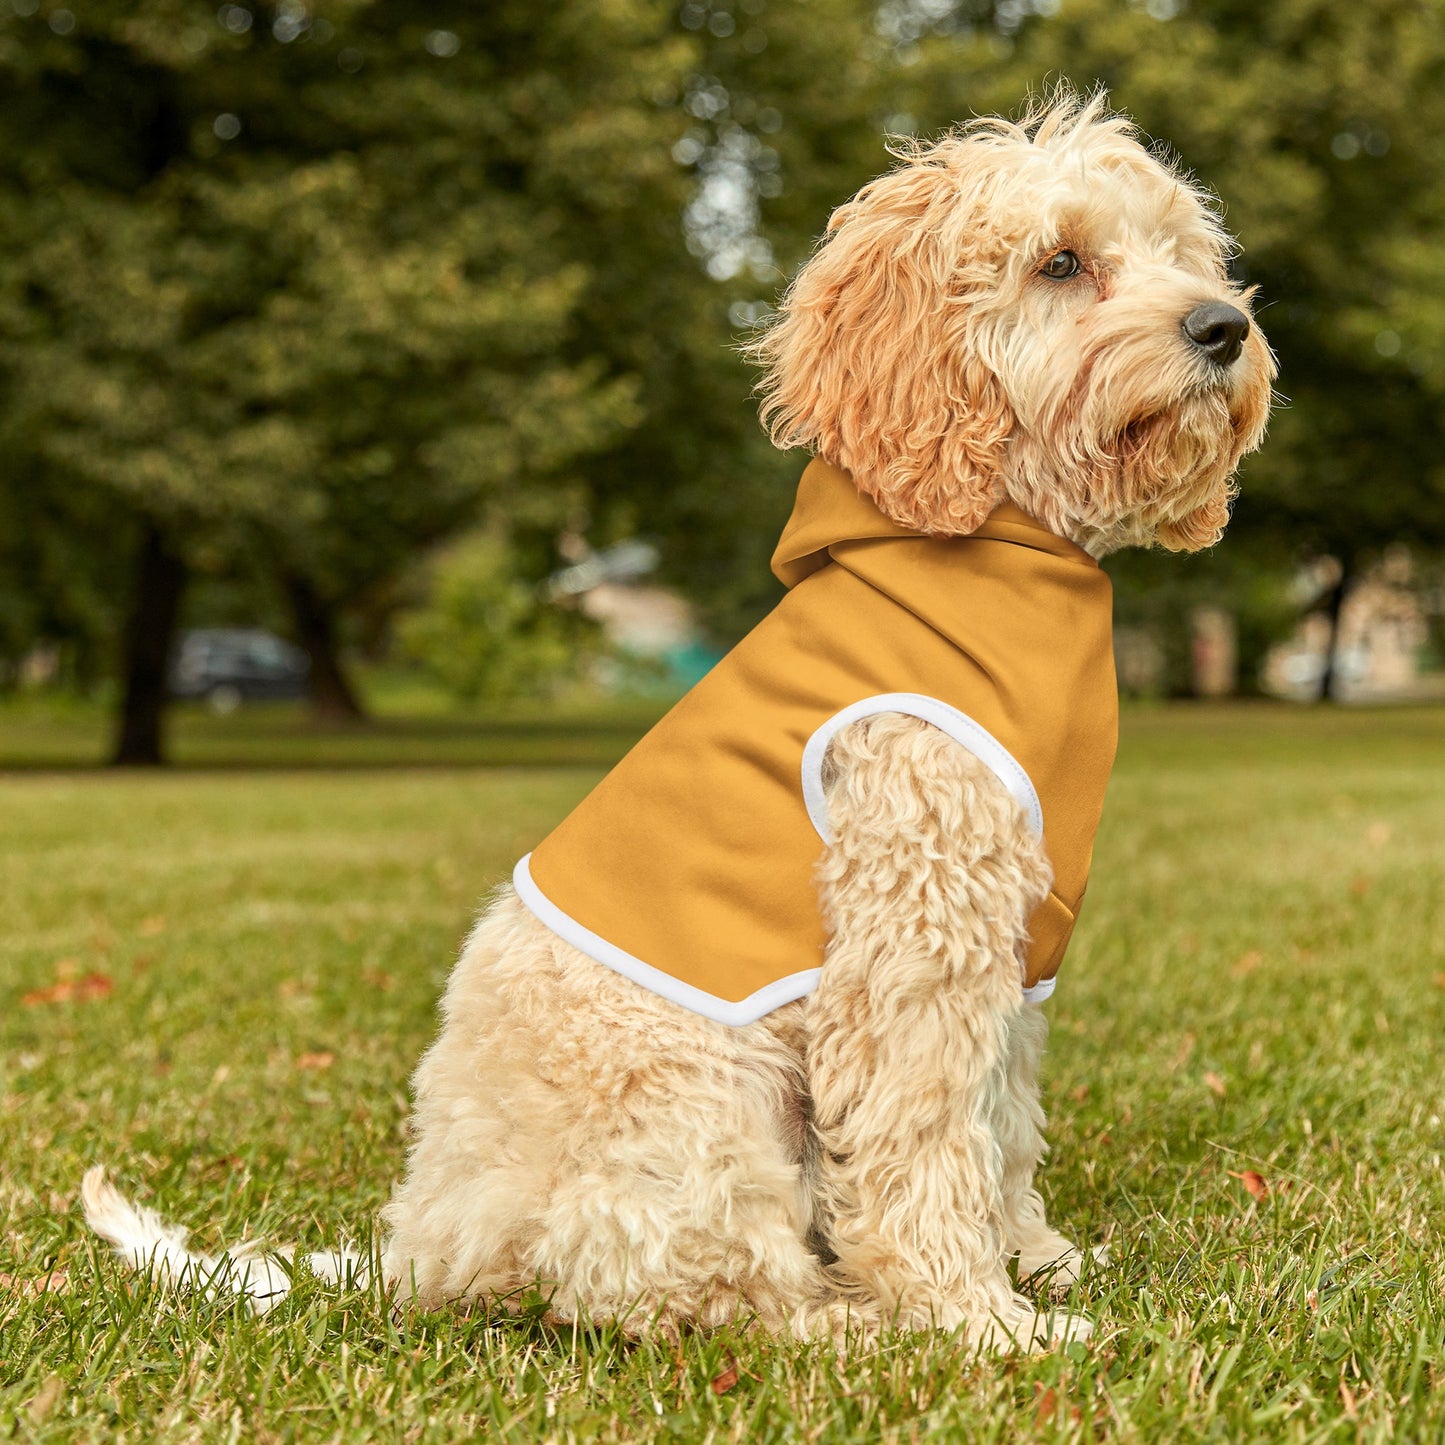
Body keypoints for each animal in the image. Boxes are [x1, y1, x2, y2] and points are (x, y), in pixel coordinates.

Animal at [84, 93, 1271, 1352]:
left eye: (1181, 252)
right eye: (1060, 262)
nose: (1222, 327)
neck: (993, 547)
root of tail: (423, 1245)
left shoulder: (1010, 947)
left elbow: (998, 1124)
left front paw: (1034, 1260)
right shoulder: (913, 936)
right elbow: (923, 1140)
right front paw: (976, 1318)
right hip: (704, 1100)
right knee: (696, 1289)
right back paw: (851, 1322)